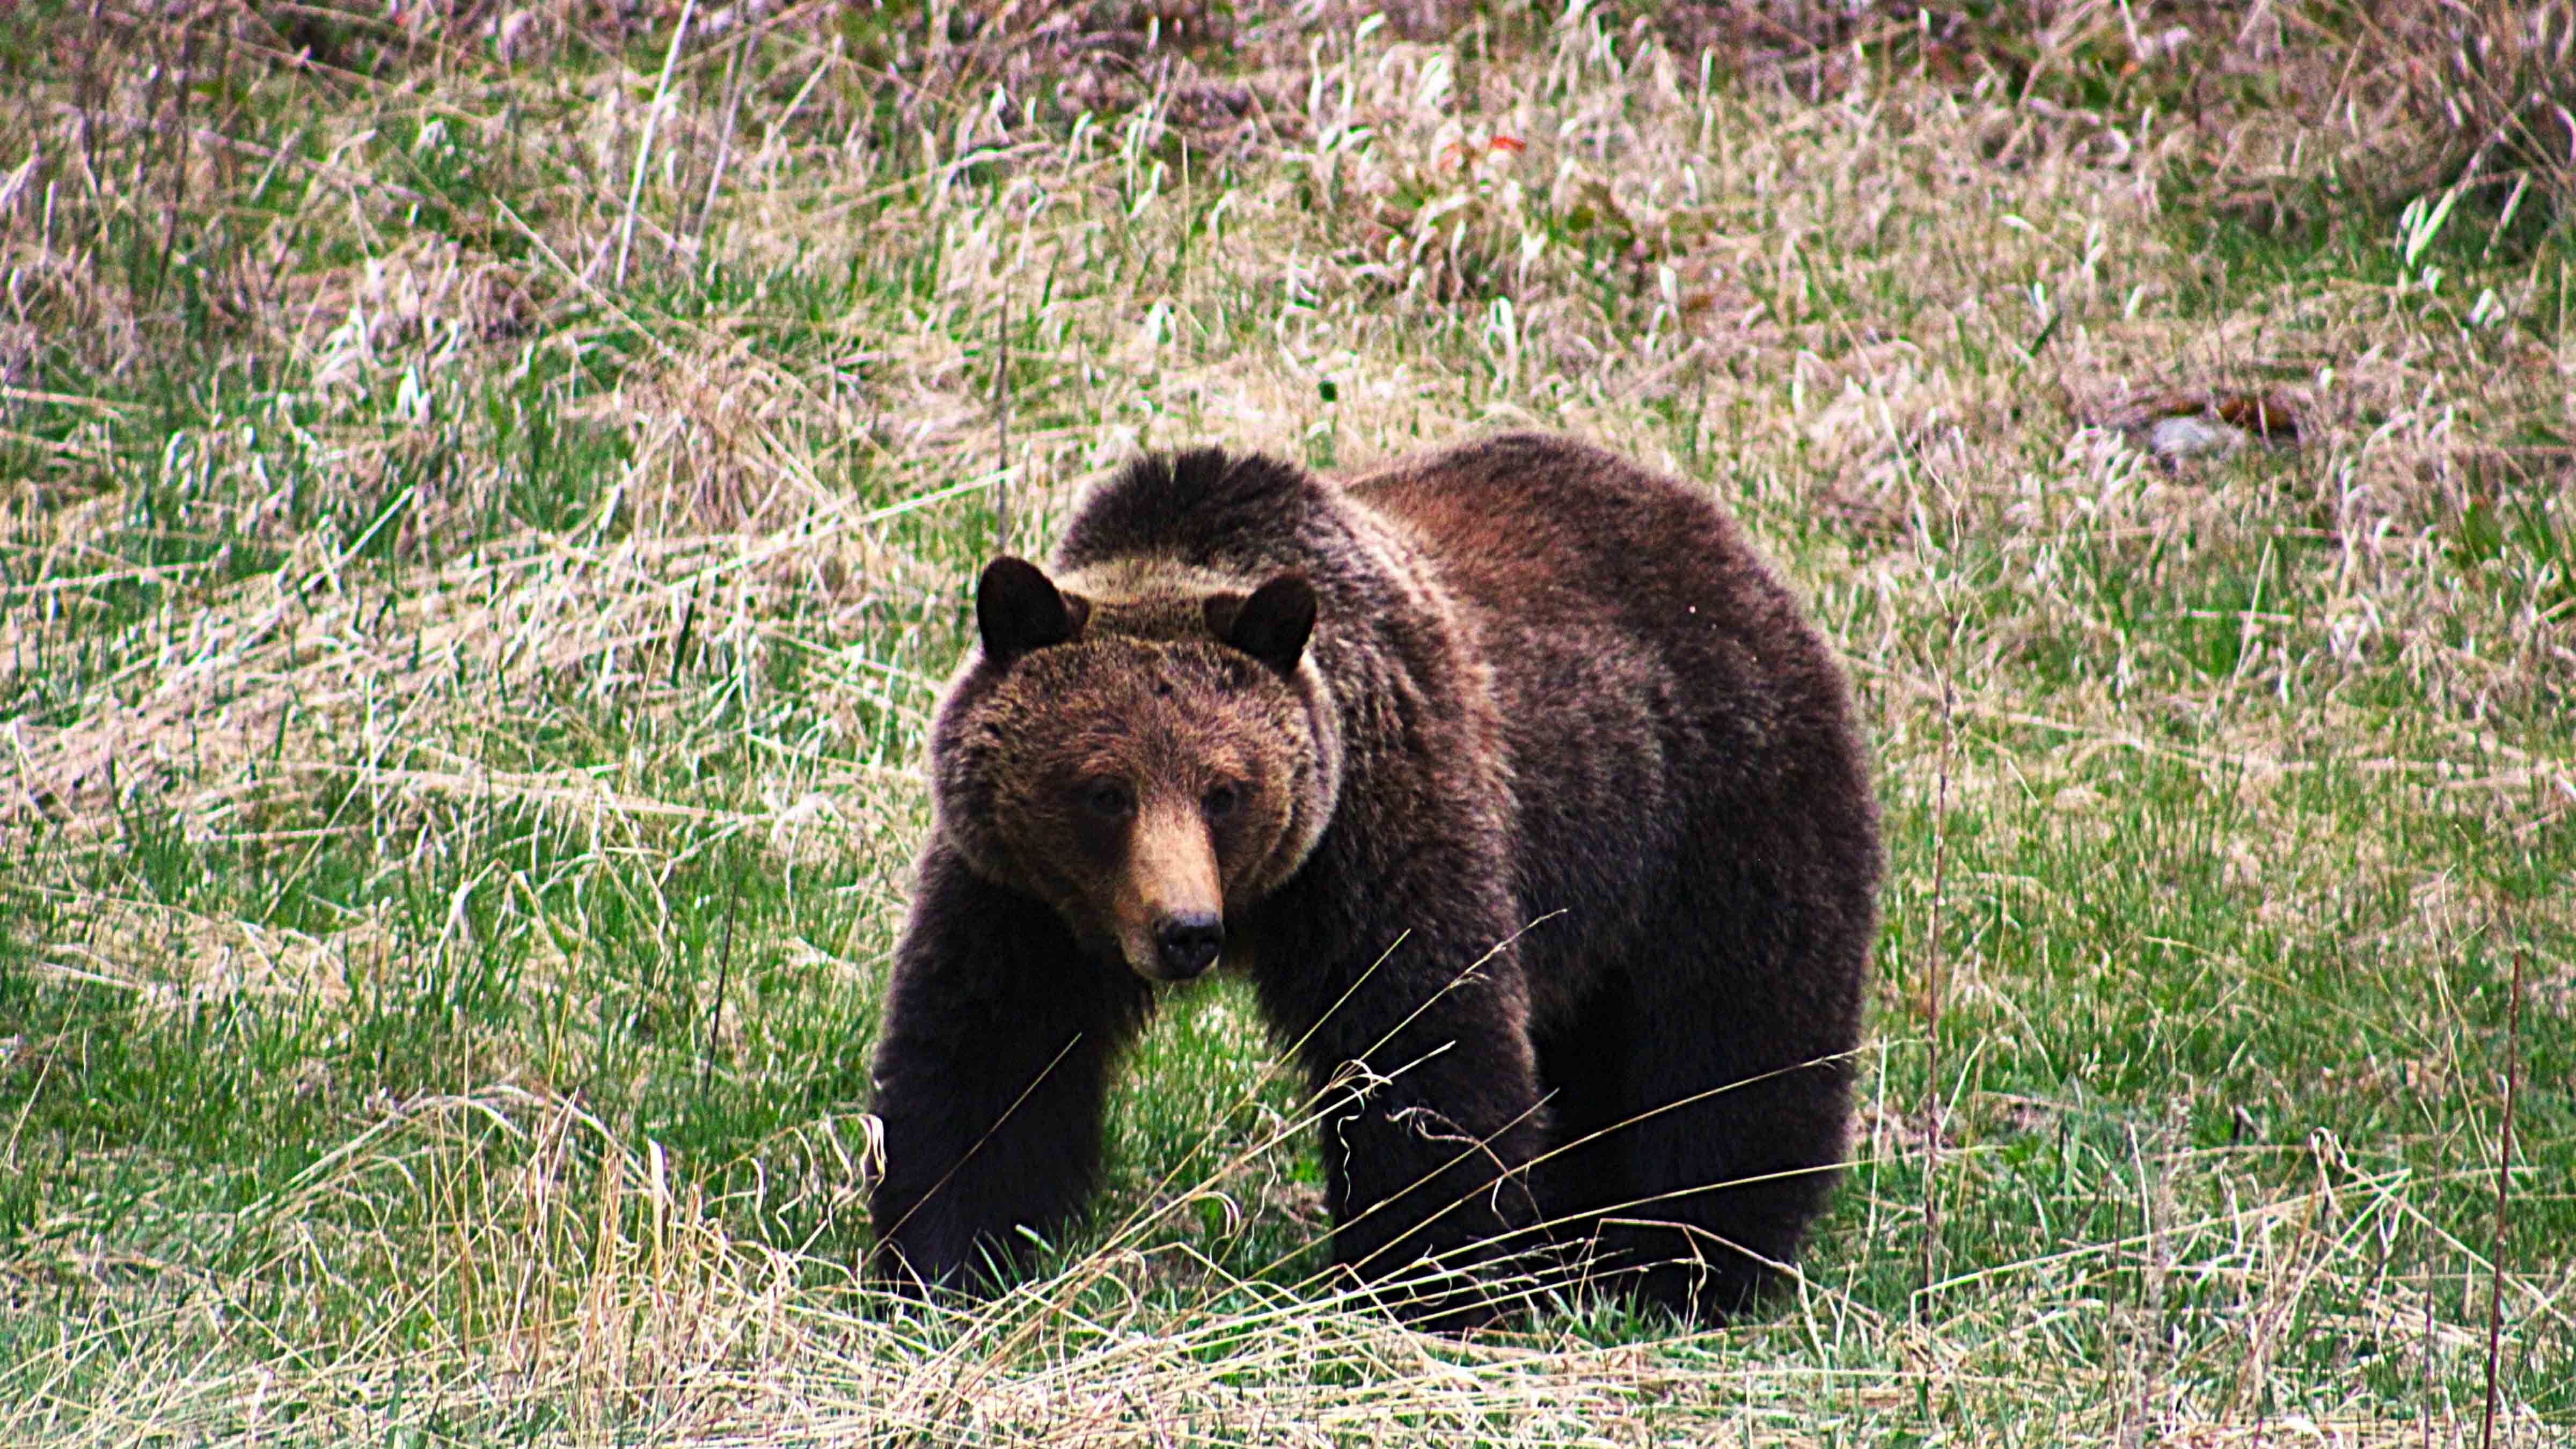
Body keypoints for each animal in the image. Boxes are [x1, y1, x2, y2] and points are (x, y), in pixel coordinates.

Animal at [866, 433, 1880, 1327]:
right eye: (1104, 791)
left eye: (1225, 790)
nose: (1187, 932)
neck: (1265, 899)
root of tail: (1728, 540)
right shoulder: (1023, 897)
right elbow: (986, 1059)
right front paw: (942, 1264)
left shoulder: (1383, 829)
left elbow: (1423, 1055)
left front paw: (1422, 1285)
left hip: (1715, 818)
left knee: (1730, 1050)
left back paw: (1688, 1267)